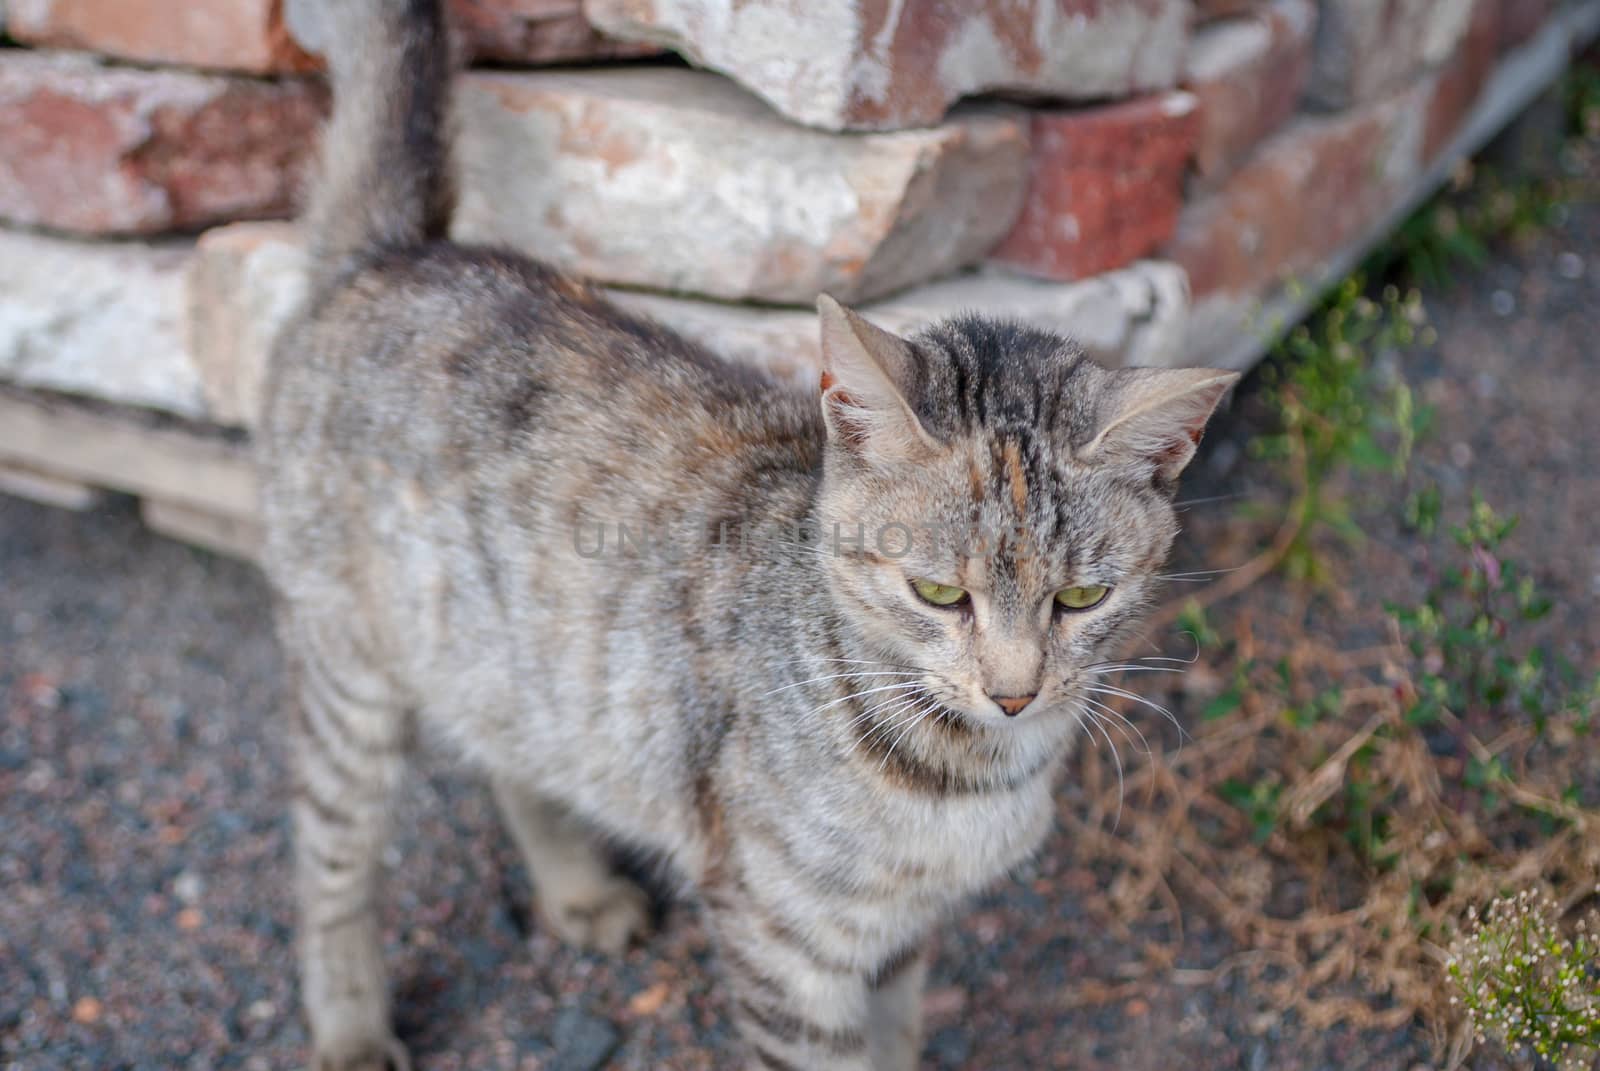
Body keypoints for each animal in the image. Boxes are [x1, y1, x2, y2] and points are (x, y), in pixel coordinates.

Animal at [259, 4, 1235, 1062]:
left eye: (1082, 598)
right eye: (938, 593)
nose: (1014, 693)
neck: (965, 777)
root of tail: (397, 253)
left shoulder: (898, 938)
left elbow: (896, 1037)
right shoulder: (784, 942)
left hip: (516, 664)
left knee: (515, 754)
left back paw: (576, 888)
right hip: (351, 678)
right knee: (329, 855)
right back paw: (351, 1024)